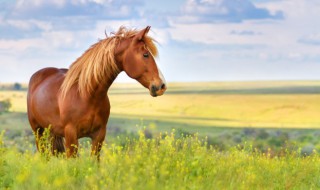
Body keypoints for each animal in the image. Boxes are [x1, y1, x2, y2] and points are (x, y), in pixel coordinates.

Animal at [27, 26, 166, 158]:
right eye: (145, 54)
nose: (161, 86)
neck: (86, 95)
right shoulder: (71, 136)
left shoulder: (99, 136)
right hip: (38, 132)